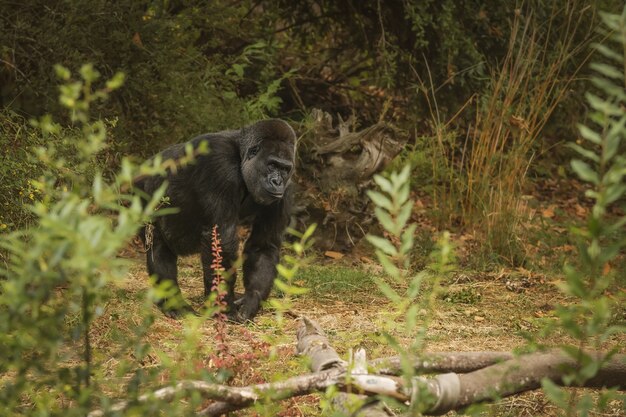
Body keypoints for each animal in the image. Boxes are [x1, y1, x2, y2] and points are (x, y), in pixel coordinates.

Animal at [135, 118, 296, 320]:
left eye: (285, 169)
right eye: (272, 165)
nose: (277, 182)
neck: (241, 156)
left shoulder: (286, 191)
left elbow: (264, 246)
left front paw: (251, 300)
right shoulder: (219, 163)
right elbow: (222, 238)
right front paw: (224, 306)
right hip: (142, 191)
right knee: (157, 244)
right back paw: (173, 302)